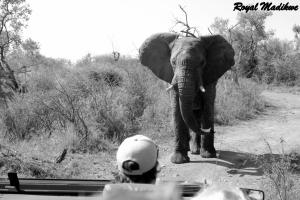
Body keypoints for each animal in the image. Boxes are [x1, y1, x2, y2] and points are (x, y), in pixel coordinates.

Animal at [138, 33, 234, 164]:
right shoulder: (172, 78)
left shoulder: (210, 76)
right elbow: (177, 110)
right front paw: (178, 160)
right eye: (173, 62)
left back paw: (197, 150)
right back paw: (192, 150)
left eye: (202, 63)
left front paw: (208, 155)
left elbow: (208, 107)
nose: (210, 129)